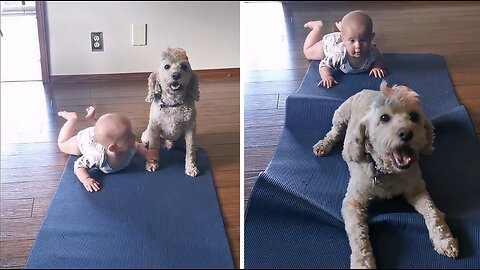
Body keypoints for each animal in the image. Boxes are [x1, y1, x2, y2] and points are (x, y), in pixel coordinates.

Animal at [141, 47, 199, 175]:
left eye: (184, 66)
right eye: (166, 66)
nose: (176, 75)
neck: (173, 104)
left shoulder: (190, 128)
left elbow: (190, 150)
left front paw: (191, 167)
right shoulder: (154, 127)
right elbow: (153, 147)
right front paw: (152, 164)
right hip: (146, 135)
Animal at [314, 80, 460, 268]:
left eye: (414, 116)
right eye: (384, 118)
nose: (406, 133)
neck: (387, 171)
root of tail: (366, 90)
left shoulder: (417, 190)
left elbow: (433, 212)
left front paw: (444, 240)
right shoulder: (353, 203)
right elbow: (357, 235)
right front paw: (362, 263)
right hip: (341, 115)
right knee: (334, 132)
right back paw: (323, 145)